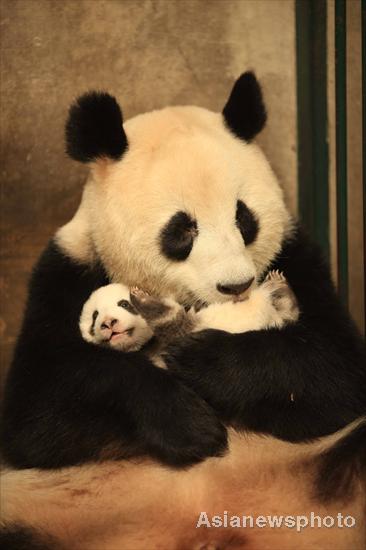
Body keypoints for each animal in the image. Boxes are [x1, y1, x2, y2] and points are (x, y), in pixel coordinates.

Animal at [78, 272, 298, 358]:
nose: (108, 322)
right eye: (95, 317)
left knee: (289, 311)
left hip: (275, 318)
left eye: (123, 304)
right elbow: (170, 319)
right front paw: (143, 298)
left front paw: (139, 295)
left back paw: (278, 285)